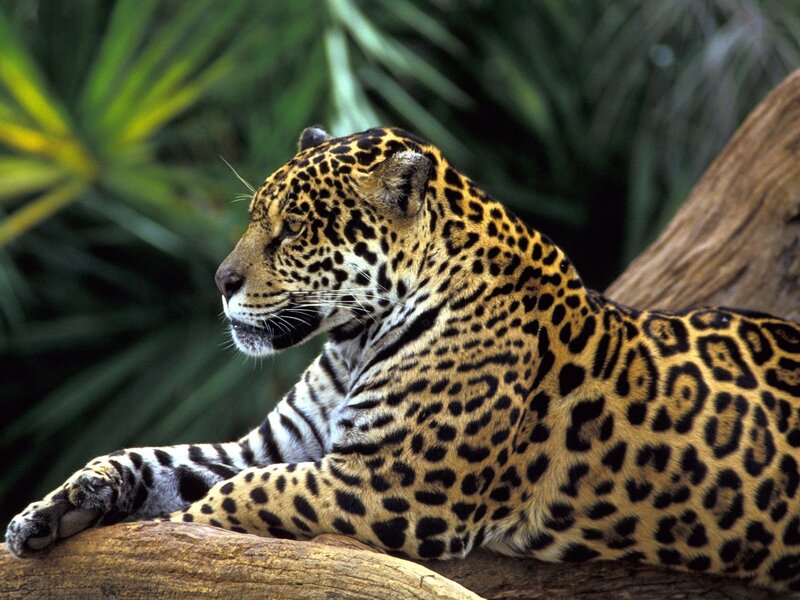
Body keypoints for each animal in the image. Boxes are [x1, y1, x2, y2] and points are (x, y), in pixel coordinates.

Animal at [6, 126, 800, 591]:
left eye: (292, 229)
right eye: (254, 217)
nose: (221, 281)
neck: (354, 337)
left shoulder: (394, 486)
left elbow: (242, 496)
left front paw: (181, 531)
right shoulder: (274, 445)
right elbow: (155, 461)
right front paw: (53, 510)